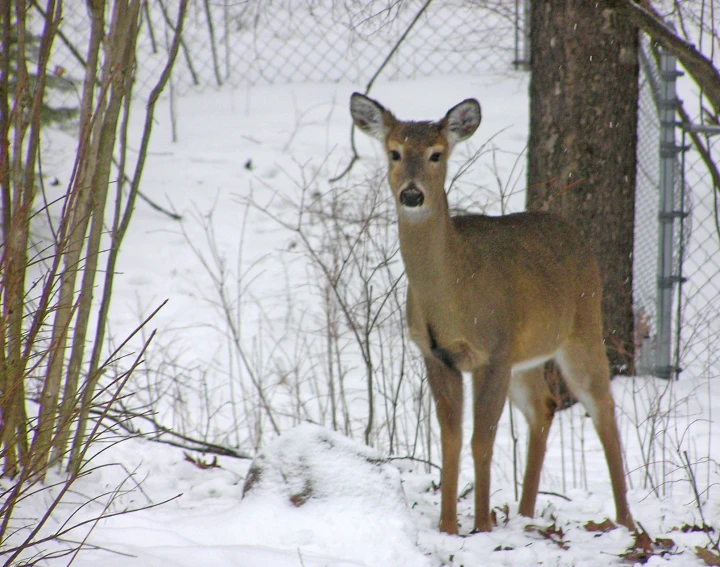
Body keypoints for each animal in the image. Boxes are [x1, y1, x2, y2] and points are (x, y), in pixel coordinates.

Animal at [350, 93, 636, 536]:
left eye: (436, 154)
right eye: (393, 152)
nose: (412, 194)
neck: (453, 294)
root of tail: (574, 233)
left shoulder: (494, 350)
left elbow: (481, 440)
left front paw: (482, 525)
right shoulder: (436, 355)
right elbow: (450, 439)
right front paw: (449, 526)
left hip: (584, 328)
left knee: (603, 408)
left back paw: (625, 522)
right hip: (527, 355)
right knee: (545, 405)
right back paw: (525, 512)